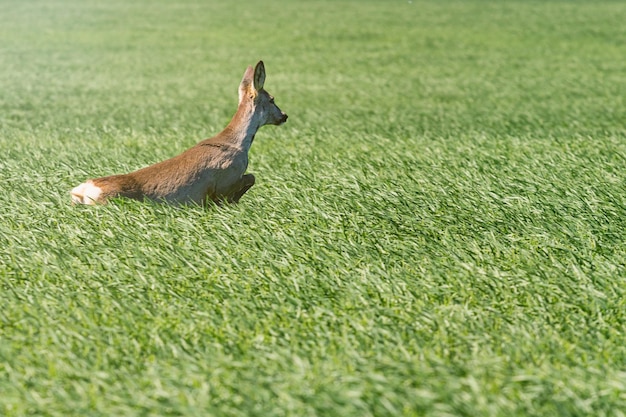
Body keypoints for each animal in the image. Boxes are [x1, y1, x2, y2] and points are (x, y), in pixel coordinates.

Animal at [71, 59, 288, 206]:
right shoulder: (225, 179)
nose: (284, 116)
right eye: (272, 99)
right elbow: (250, 178)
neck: (238, 144)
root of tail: (81, 192)